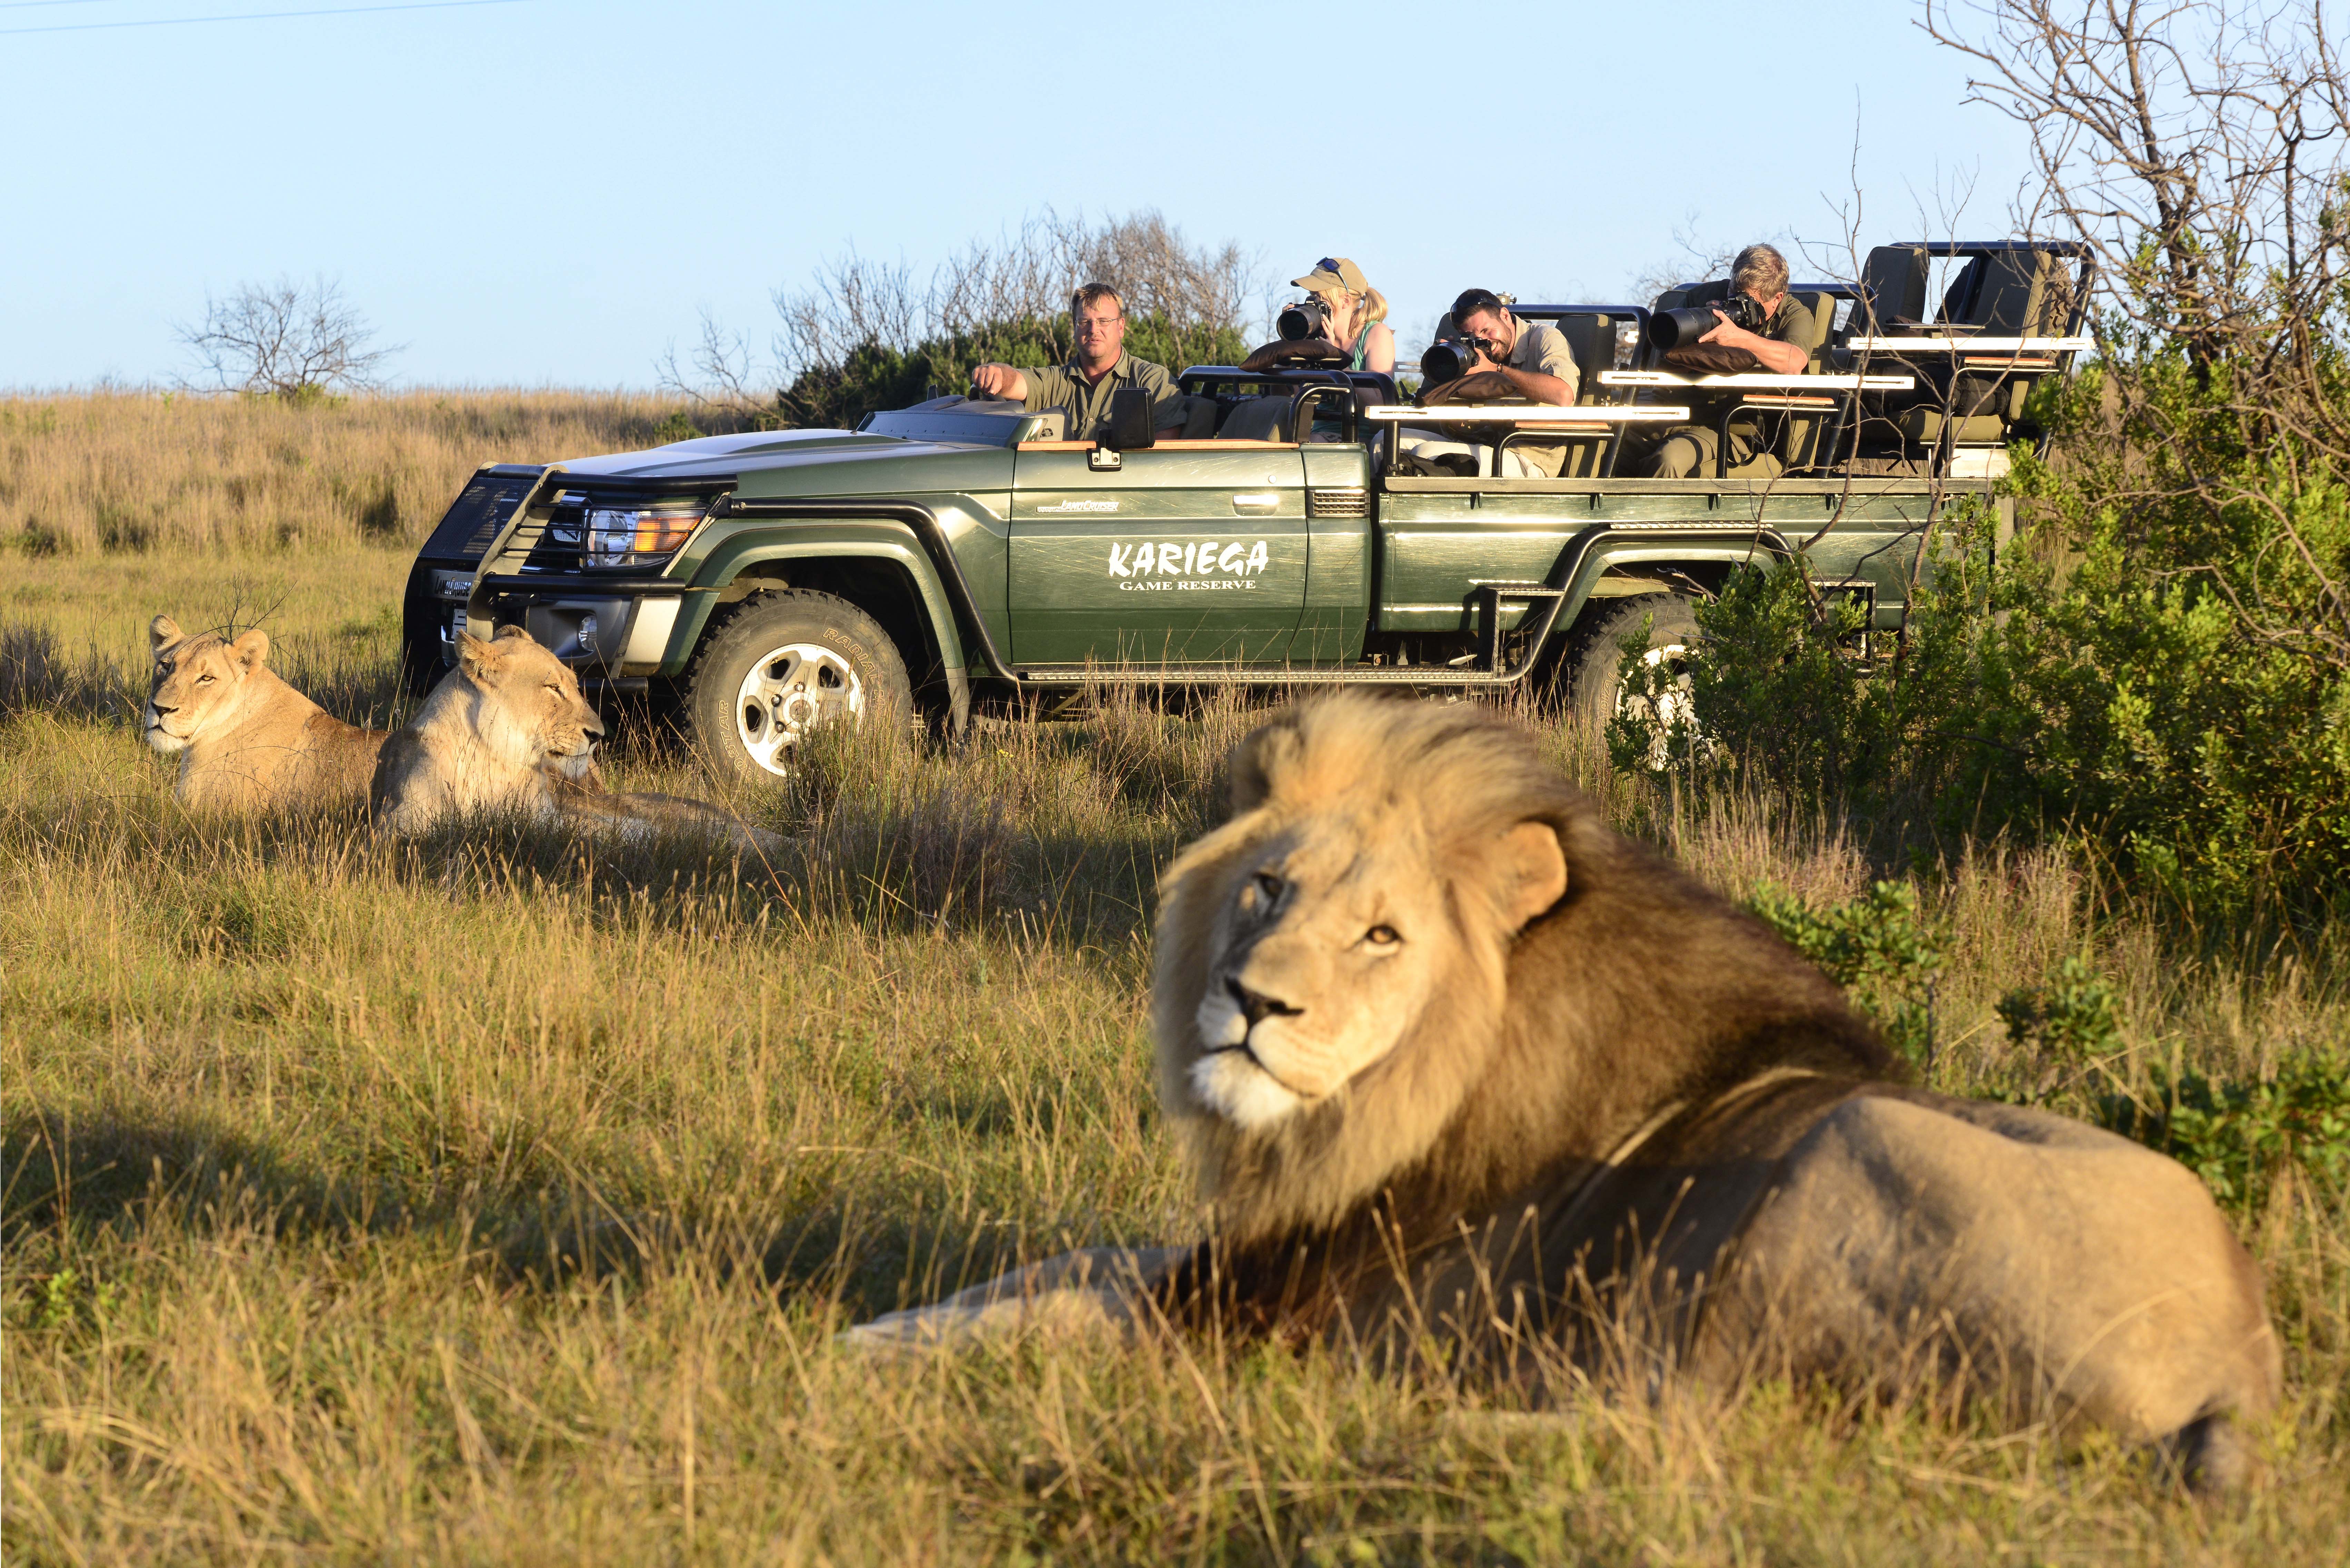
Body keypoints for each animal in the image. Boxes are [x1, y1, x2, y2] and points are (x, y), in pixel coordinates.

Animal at [371, 625, 784, 856]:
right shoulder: (397, 824)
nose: (599, 735)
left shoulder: (554, 816)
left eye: (573, 683)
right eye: (553, 688)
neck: (496, 761)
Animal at [850, 694, 2281, 1488]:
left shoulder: (1280, 1308)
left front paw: (858, 1346)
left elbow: (1064, 1310)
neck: (1363, 1119)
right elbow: (1061, 1265)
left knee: (1692, 1427)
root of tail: (2244, 1366)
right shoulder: (1241, 1258)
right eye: (1267, 886)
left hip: (1837, 1173)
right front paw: (894, 1316)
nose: (1253, 1002)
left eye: (1383, 936)